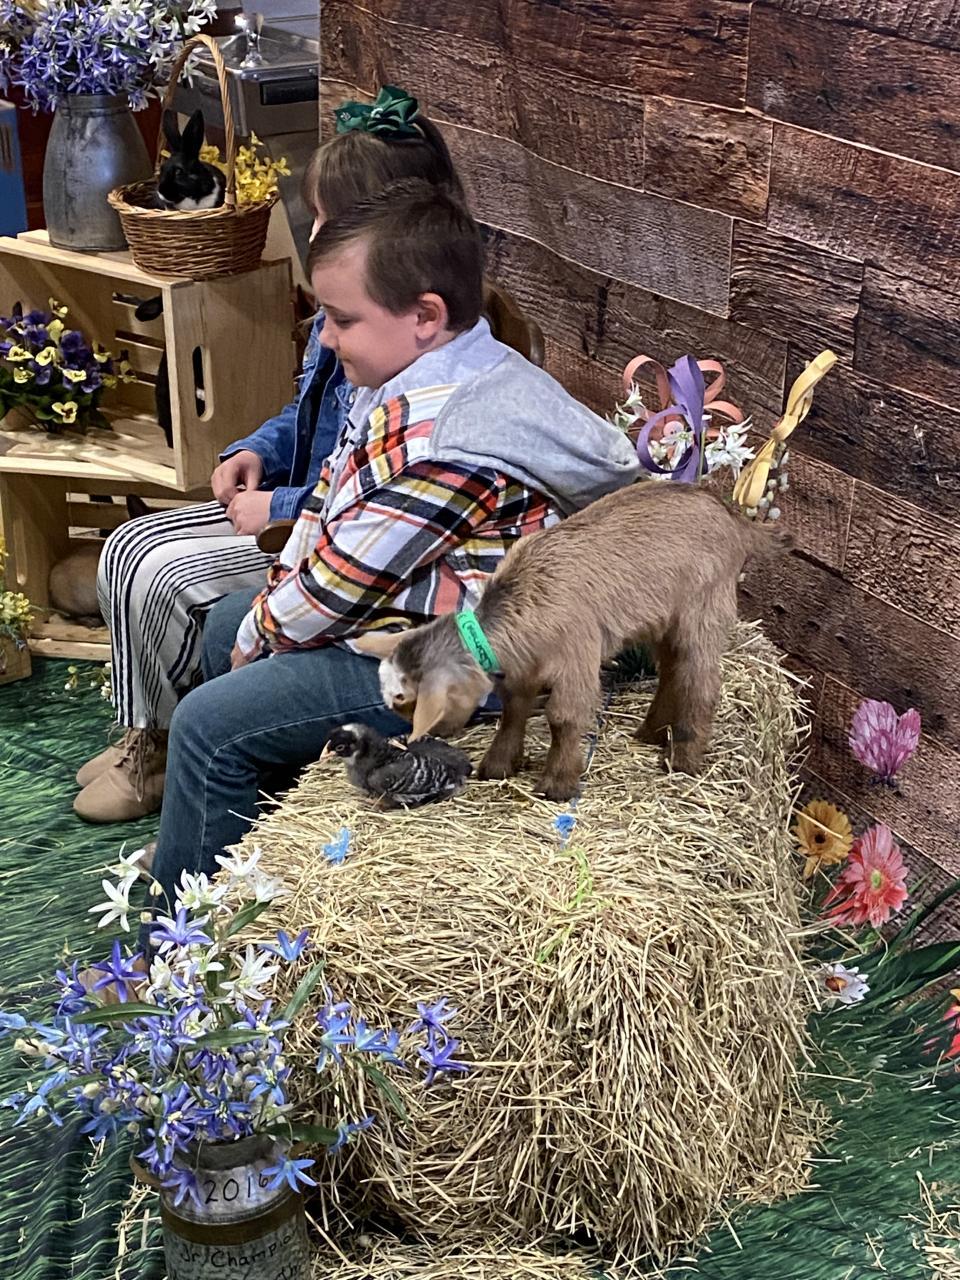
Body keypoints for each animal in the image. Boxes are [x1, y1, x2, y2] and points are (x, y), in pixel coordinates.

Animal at [356, 483, 790, 802]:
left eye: (407, 701)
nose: (431, 735)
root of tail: (737, 520)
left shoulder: (576, 654)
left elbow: (564, 717)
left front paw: (557, 785)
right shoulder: (523, 668)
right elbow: (514, 708)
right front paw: (498, 765)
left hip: (703, 607)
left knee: (701, 679)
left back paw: (682, 757)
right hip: (664, 617)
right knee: (672, 670)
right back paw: (651, 732)